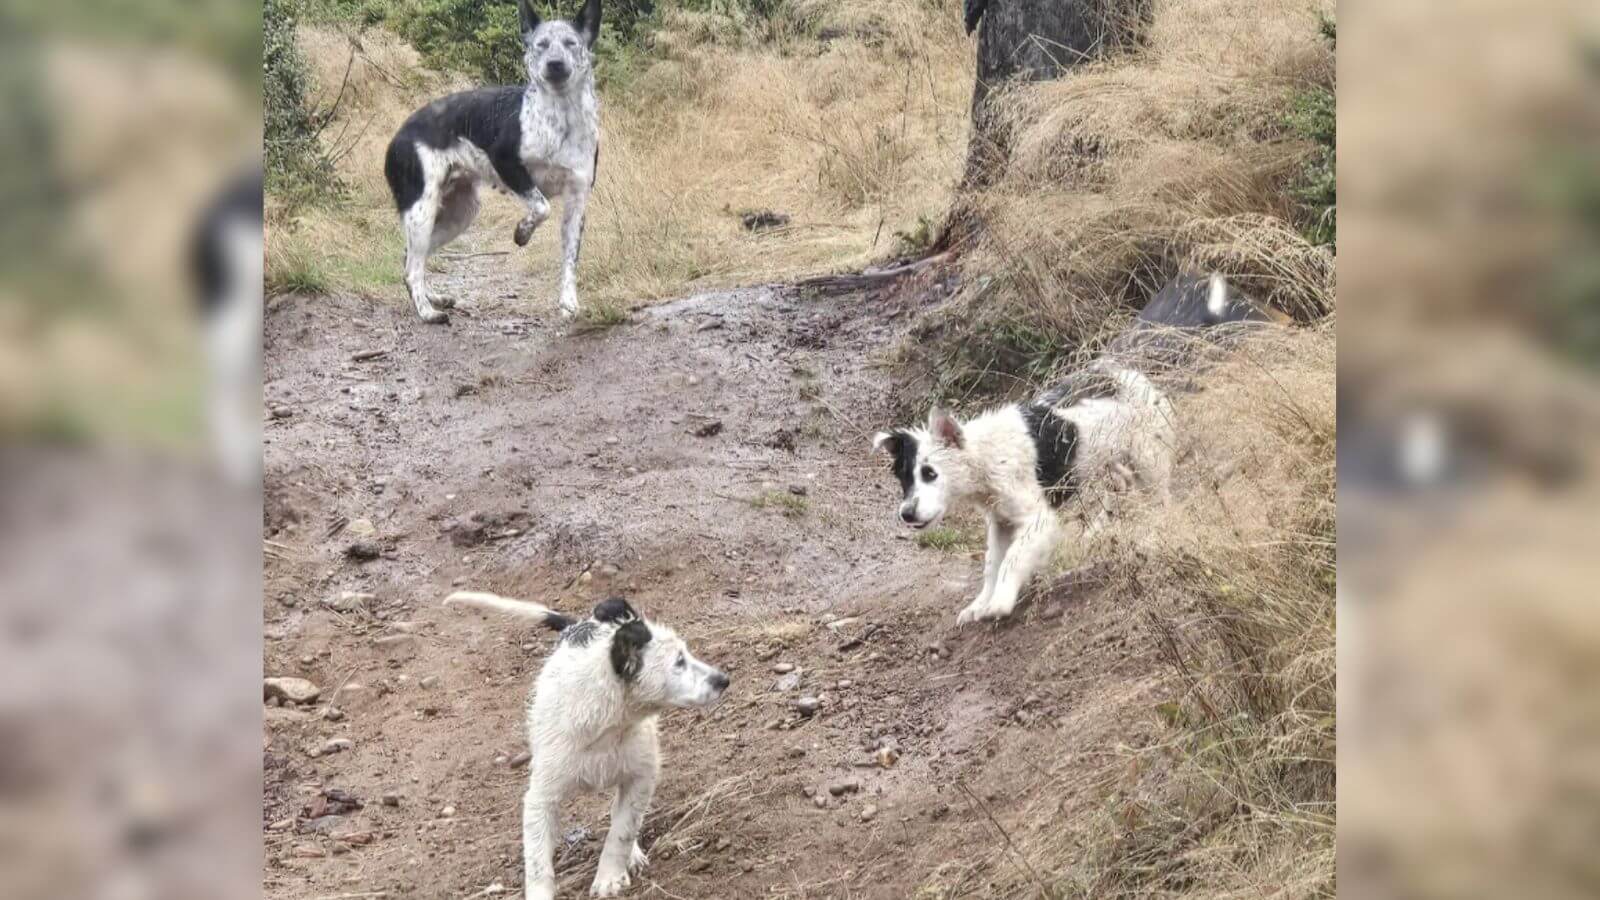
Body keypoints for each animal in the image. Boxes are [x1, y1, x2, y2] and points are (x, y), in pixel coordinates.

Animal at [384, 0, 601, 321]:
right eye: (541, 45)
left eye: (571, 43)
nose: (554, 64)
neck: (561, 119)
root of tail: (398, 137)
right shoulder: (507, 163)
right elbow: (542, 206)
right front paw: (522, 232)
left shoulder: (577, 200)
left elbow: (570, 260)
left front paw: (568, 302)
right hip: (422, 211)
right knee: (412, 268)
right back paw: (427, 313)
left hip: (459, 214)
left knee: (410, 260)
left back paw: (434, 297)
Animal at [444, 589, 732, 896]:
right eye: (679, 661)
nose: (724, 680)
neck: (607, 725)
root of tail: (583, 623)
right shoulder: (540, 797)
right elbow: (537, 861)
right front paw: (541, 892)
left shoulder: (641, 776)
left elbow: (622, 830)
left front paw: (609, 877)